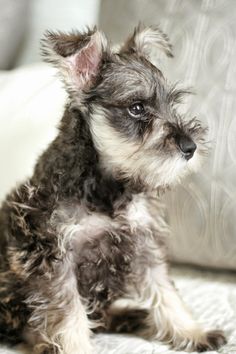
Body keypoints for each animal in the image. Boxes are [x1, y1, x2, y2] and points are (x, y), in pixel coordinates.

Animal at [0, 25, 226, 354]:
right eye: (137, 108)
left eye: (172, 103)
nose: (190, 147)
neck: (107, 187)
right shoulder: (54, 259)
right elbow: (68, 314)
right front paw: (74, 348)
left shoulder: (144, 244)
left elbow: (166, 292)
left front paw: (192, 331)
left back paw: (130, 314)